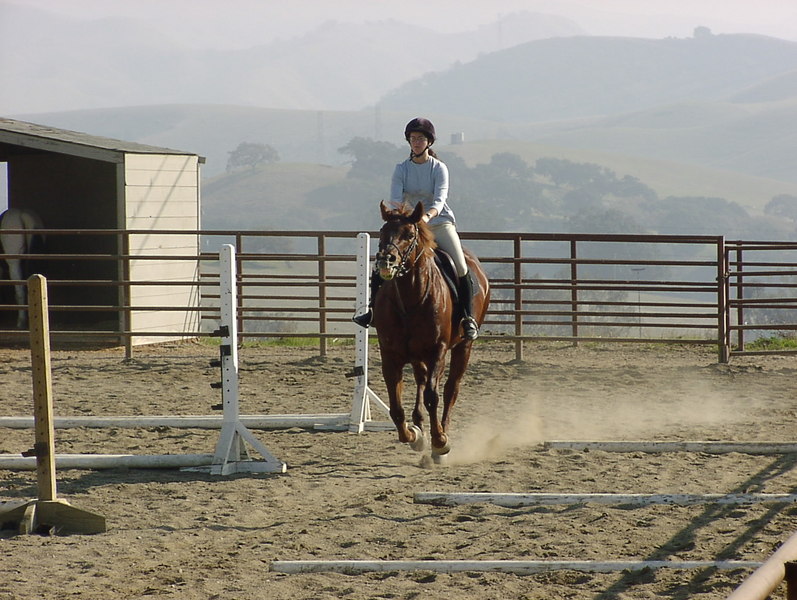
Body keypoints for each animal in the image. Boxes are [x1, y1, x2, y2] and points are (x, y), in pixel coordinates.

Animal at [372, 201, 490, 463]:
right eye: (382, 233)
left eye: (409, 234)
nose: (386, 260)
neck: (409, 300)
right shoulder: (390, 355)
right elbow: (396, 407)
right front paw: (414, 435)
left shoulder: (438, 351)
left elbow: (433, 396)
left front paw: (439, 442)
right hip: (417, 355)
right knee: (421, 379)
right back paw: (419, 425)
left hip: (463, 347)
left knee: (450, 390)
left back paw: (441, 436)